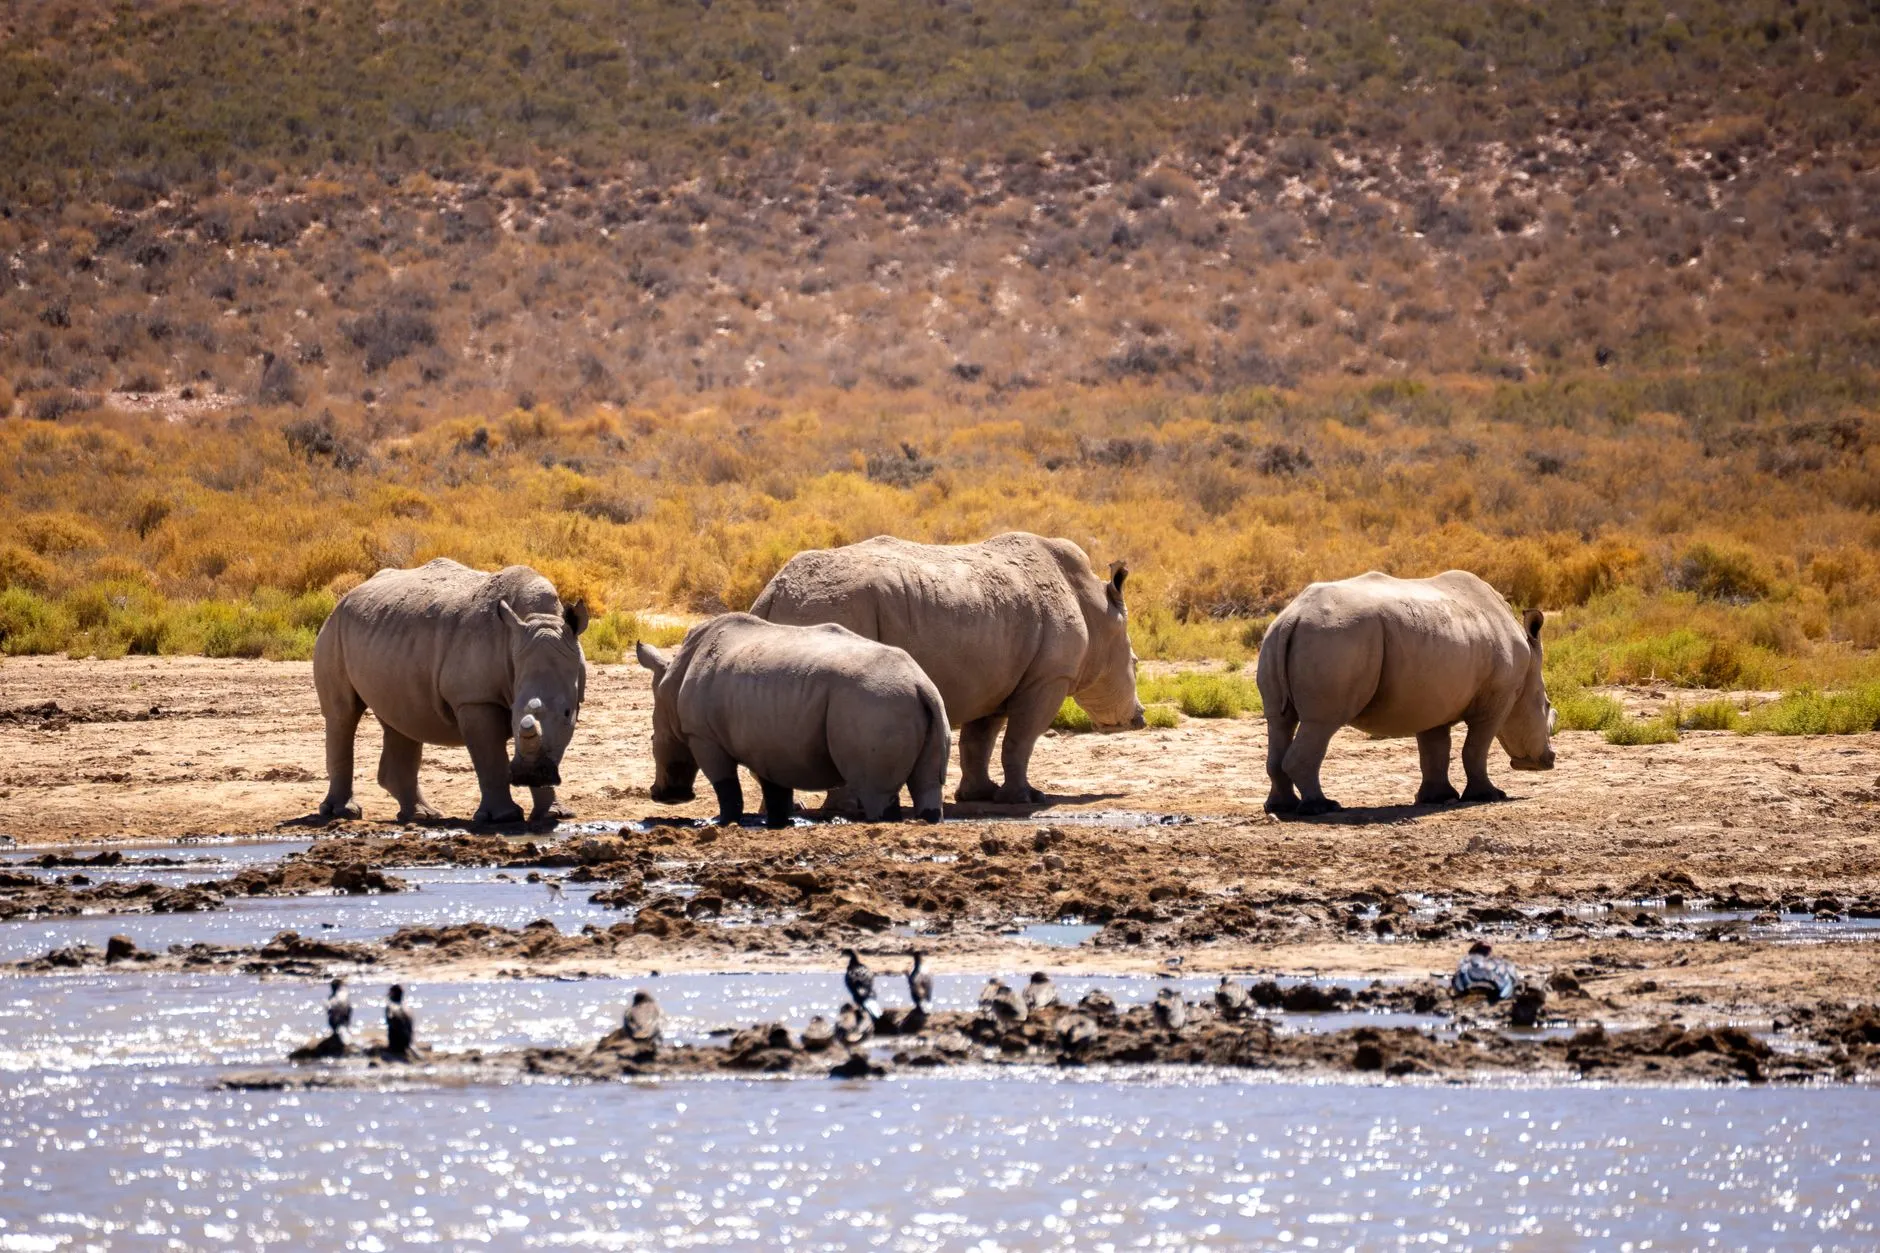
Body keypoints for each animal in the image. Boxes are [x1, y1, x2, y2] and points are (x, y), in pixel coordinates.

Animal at [313, 558, 589, 825]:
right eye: (513, 714)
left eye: (567, 713)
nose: (529, 775)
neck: (538, 618)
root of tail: (348, 594)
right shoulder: (475, 699)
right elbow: (489, 757)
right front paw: (504, 817)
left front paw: (554, 815)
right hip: (334, 627)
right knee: (343, 715)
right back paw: (343, 812)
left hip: (389, 638)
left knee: (401, 719)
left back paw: (421, 816)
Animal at [634, 613, 950, 826]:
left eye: (653, 739)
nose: (662, 796)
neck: (671, 685)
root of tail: (919, 683)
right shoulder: (768, 743)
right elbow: (775, 788)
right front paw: (779, 823)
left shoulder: (702, 735)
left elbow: (726, 786)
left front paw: (724, 823)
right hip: (917, 702)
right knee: (928, 785)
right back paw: (928, 819)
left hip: (875, 703)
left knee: (875, 790)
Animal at [750, 533, 1144, 805]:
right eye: (1136, 666)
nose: (1139, 718)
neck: (1097, 611)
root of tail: (772, 591)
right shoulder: (1048, 678)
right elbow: (1020, 739)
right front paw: (1026, 798)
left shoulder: (993, 679)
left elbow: (979, 741)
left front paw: (979, 795)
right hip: (836, 605)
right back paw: (846, 808)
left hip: (805, 611)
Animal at [1256, 570, 1556, 816]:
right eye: (1547, 705)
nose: (1548, 760)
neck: (1529, 664)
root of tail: (1293, 617)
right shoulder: (1496, 701)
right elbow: (1475, 748)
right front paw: (1489, 795)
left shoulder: (1432, 698)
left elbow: (1435, 750)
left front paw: (1437, 798)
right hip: (1335, 639)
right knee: (1322, 723)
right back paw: (1322, 807)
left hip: (1281, 638)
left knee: (1280, 721)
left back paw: (1281, 807)